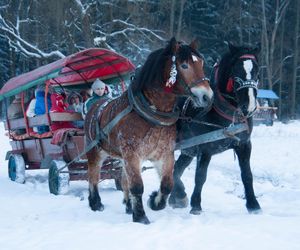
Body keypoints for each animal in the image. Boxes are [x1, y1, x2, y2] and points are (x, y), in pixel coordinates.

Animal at [84, 37, 213, 225]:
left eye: (201, 63)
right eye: (184, 65)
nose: (207, 97)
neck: (152, 113)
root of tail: (95, 105)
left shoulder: (164, 154)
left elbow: (167, 184)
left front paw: (154, 201)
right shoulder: (132, 153)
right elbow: (137, 186)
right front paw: (140, 216)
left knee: (123, 179)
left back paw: (128, 205)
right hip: (95, 151)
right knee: (93, 175)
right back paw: (95, 203)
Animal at [170, 43, 262, 215]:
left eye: (257, 70)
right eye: (236, 69)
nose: (250, 106)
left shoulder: (244, 145)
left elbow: (247, 175)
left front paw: (253, 205)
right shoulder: (205, 148)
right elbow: (200, 176)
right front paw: (196, 205)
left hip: (188, 149)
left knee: (177, 168)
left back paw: (176, 197)